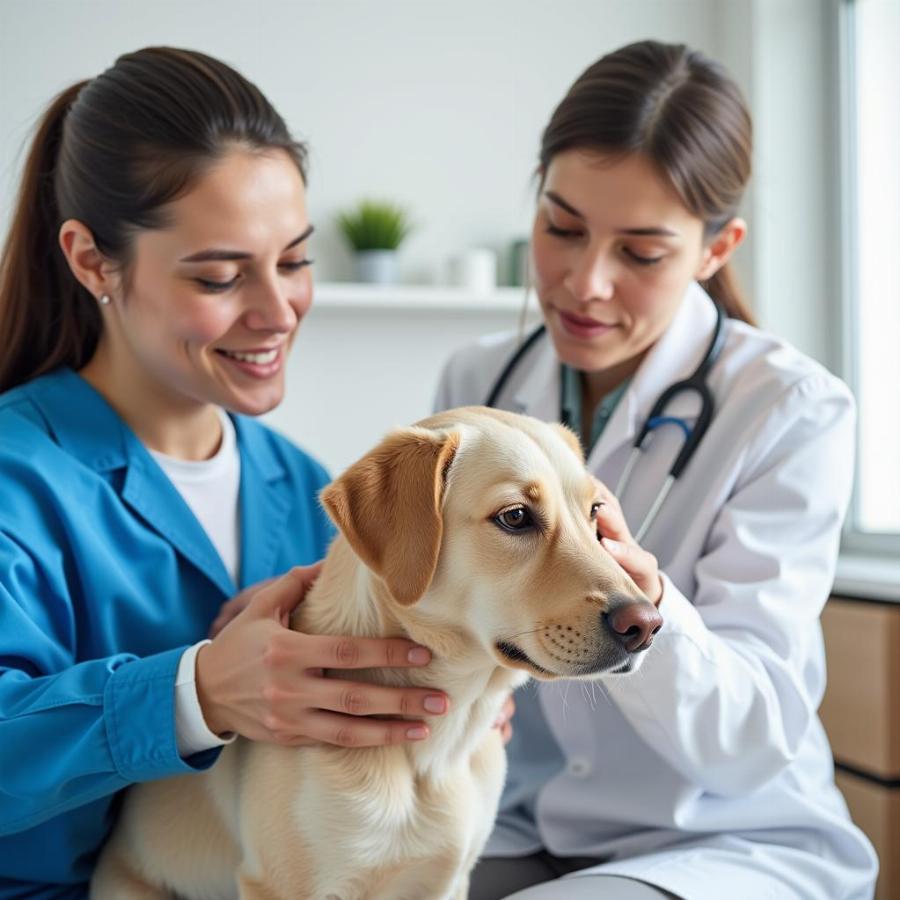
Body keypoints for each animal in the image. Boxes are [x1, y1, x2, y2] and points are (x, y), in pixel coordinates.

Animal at [93, 410, 660, 900]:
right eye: (516, 516)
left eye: (595, 513)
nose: (647, 624)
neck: (439, 747)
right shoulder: (281, 886)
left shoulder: (447, 880)